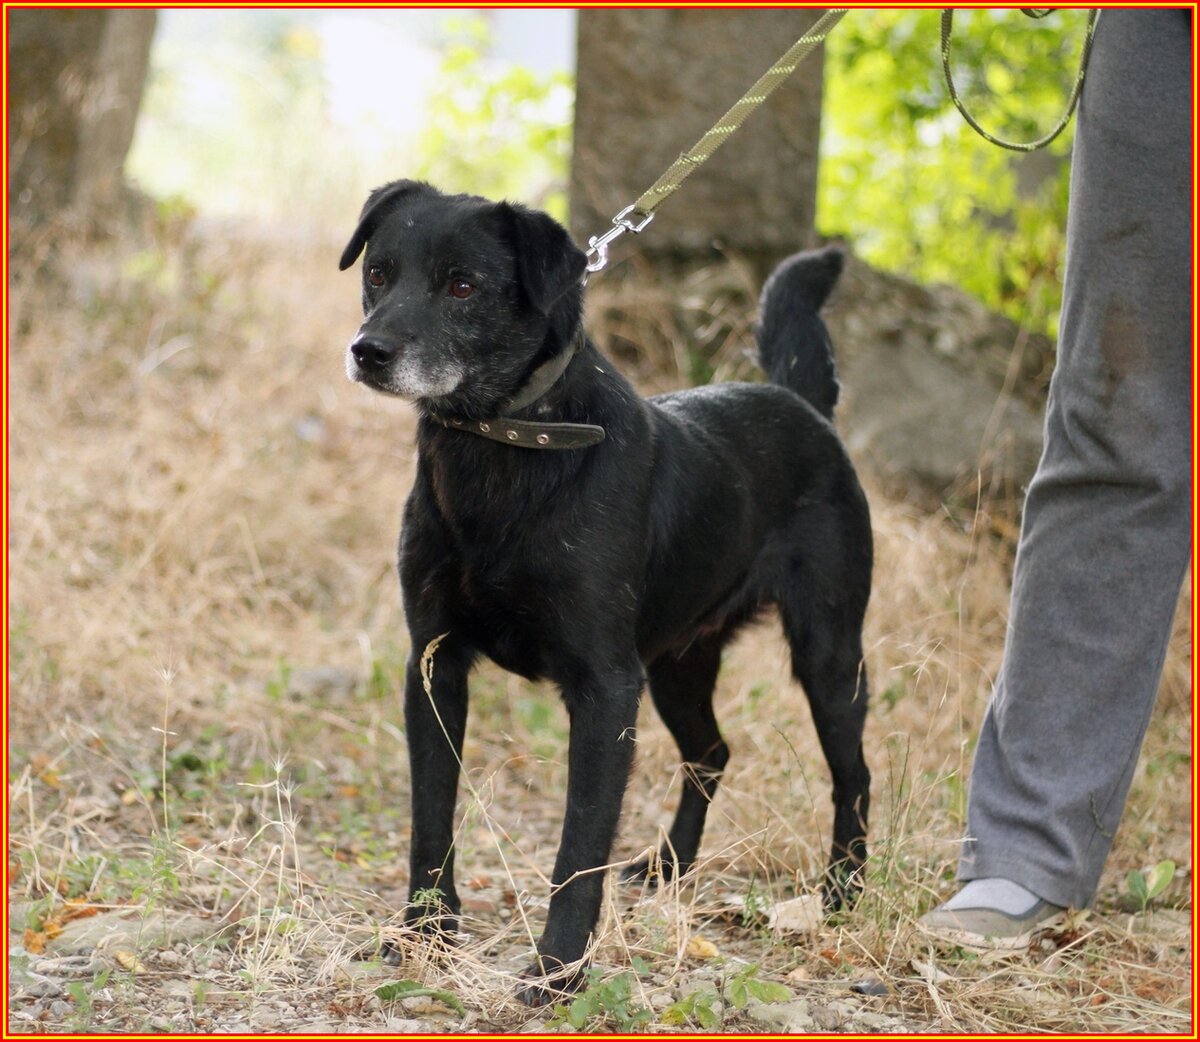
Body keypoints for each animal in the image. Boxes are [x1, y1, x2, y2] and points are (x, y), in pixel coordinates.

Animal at [338, 183, 873, 1003]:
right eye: (378, 273)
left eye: (462, 286)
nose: (369, 351)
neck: (502, 446)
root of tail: (800, 404)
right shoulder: (432, 665)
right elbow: (432, 817)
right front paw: (425, 935)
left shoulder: (604, 687)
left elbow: (580, 841)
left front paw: (559, 969)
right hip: (678, 662)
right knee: (712, 752)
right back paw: (668, 868)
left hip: (827, 656)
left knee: (853, 774)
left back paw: (843, 888)